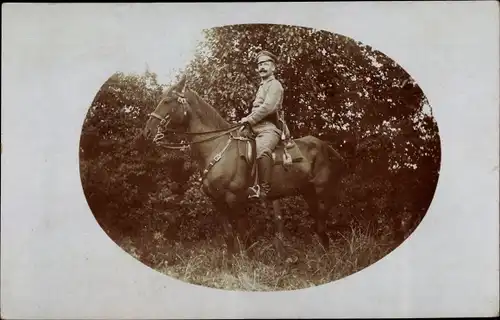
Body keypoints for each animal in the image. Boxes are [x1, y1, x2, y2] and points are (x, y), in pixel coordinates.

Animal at [142, 75, 348, 260]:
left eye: (167, 101)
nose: (147, 131)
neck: (217, 146)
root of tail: (327, 147)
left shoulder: (235, 200)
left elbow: (245, 236)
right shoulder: (218, 202)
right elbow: (229, 236)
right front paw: (230, 267)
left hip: (323, 194)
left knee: (321, 225)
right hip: (308, 193)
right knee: (320, 228)